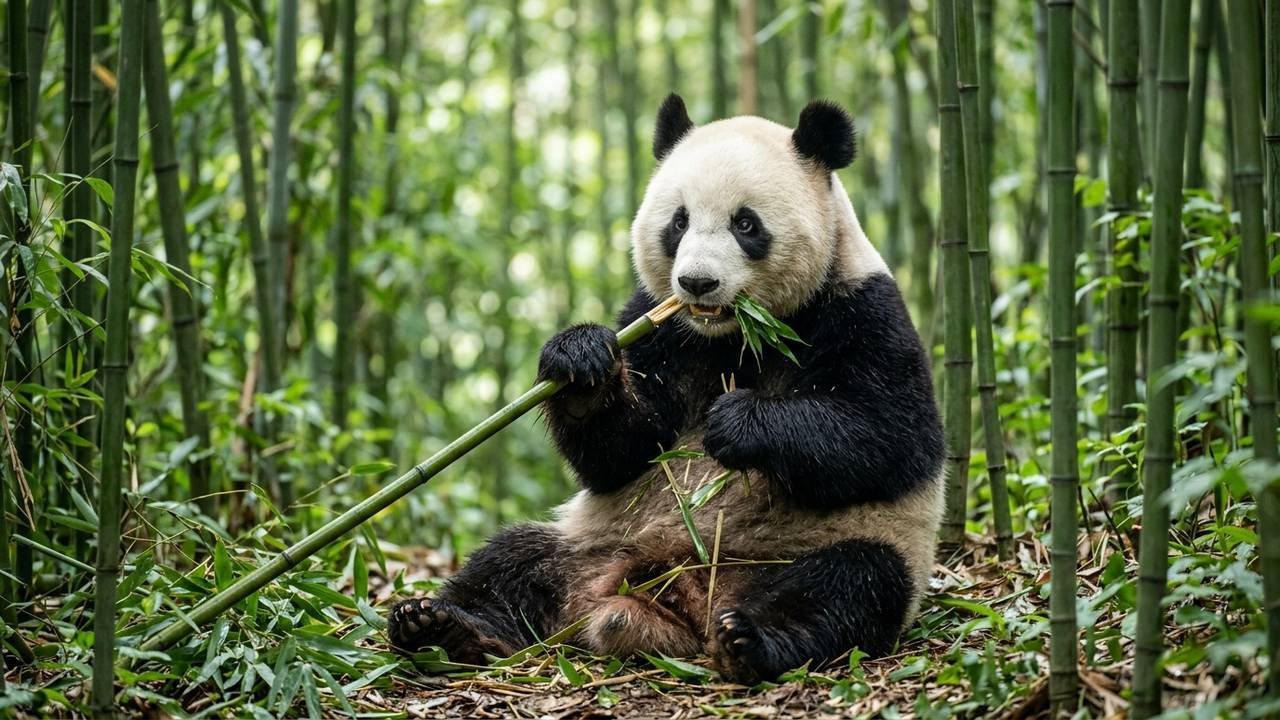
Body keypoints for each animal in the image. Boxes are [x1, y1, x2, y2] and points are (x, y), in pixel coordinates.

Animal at [387, 95, 946, 683]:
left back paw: (750, 640)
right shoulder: (657, 324)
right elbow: (622, 453)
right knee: (510, 561)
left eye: (745, 223)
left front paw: (739, 422)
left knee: (847, 585)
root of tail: (671, 596)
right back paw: (440, 626)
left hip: (818, 548)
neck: (732, 336)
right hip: (592, 540)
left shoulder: (861, 308)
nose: (696, 283)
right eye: (679, 221)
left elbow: (891, 438)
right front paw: (580, 361)